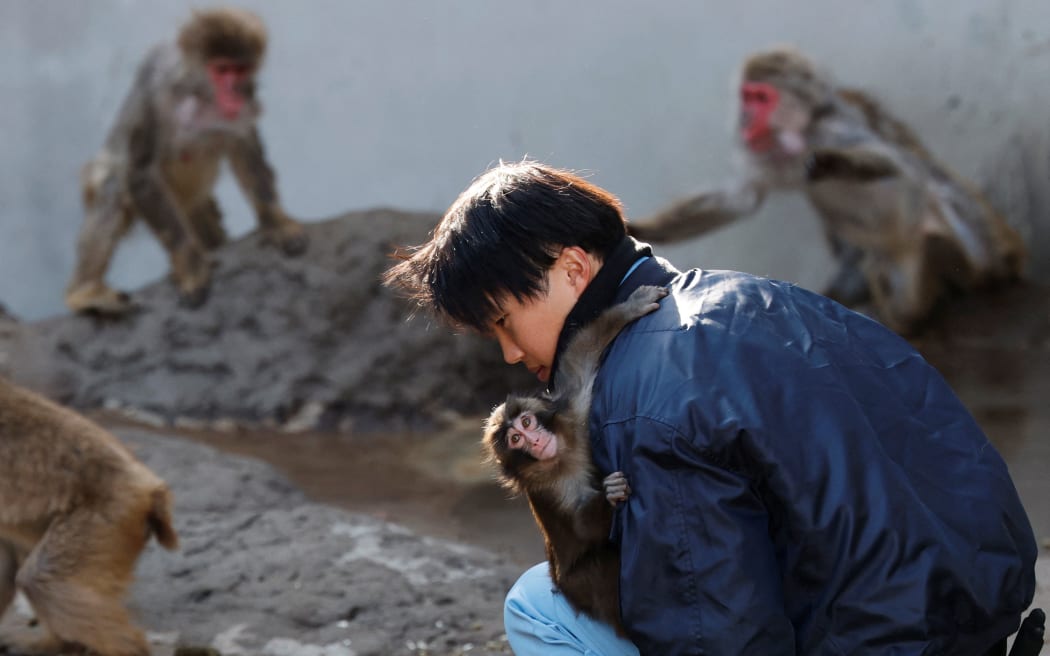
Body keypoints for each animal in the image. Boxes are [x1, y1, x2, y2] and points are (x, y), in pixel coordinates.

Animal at [65, 7, 307, 315]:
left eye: (240, 69)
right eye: (222, 70)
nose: (233, 92)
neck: (198, 94)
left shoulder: (247, 94)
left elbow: (245, 147)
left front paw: (277, 221)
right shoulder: (158, 91)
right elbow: (140, 172)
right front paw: (190, 267)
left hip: (196, 205)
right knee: (114, 184)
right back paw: (83, 292)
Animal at [482, 284, 668, 634]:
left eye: (526, 423)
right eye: (515, 440)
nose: (536, 441)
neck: (562, 456)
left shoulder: (573, 415)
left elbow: (581, 356)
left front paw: (628, 310)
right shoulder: (550, 487)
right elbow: (582, 527)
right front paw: (610, 497)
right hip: (579, 585)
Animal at [629, 46, 1027, 335]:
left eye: (761, 98)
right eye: (746, 97)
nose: (744, 121)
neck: (800, 133)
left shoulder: (835, 127)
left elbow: (895, 164)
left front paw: (831, 163)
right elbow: (740, 200)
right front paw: (638, 229)